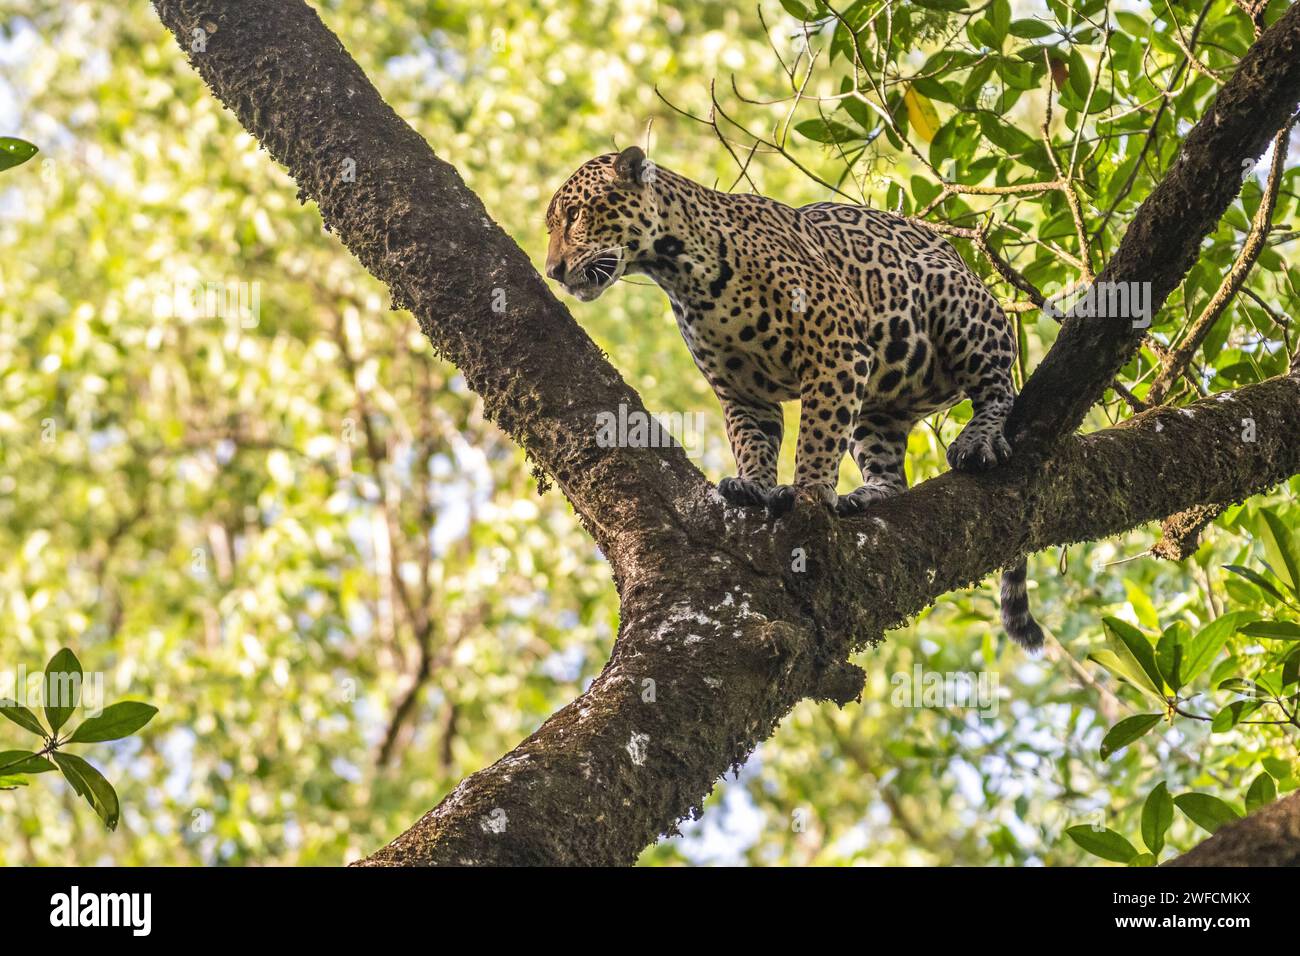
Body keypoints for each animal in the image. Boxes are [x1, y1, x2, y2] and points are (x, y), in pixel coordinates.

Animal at [544, 146, 1042, 650]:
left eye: (575, 214)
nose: (553, 272)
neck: (681, 268)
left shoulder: (835, 353)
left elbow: (819, 435)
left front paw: (808, 492)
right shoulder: (741, 390)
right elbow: (752, 442)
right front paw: (753, 485)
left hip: (955, 302)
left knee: (997, 384)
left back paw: (977, 439)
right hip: (878, 409)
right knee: (890, 471)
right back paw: (864, 497)